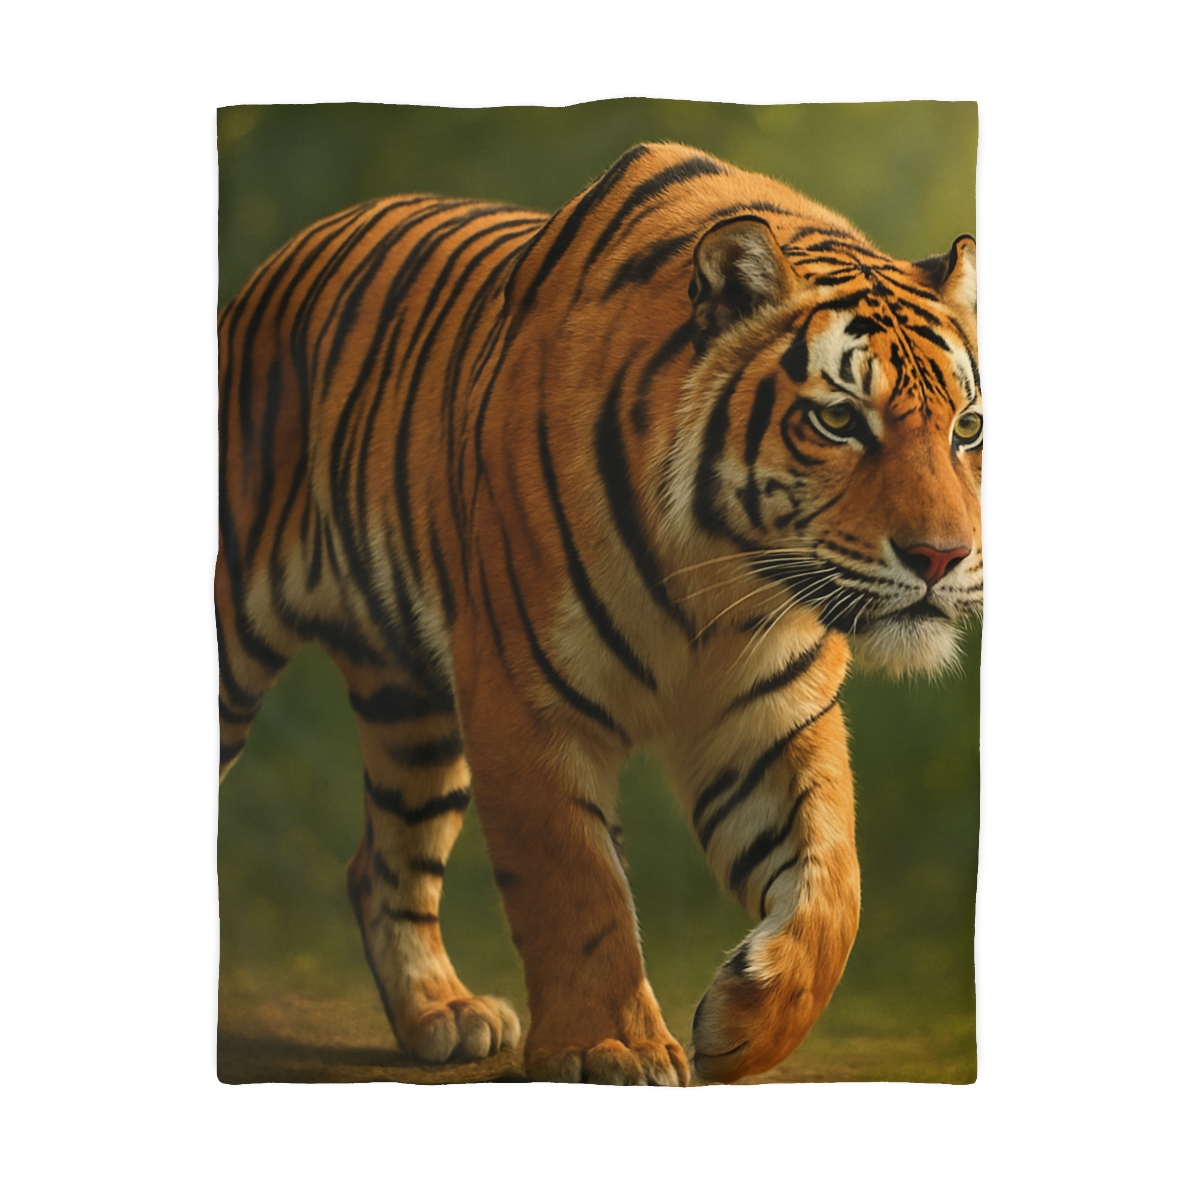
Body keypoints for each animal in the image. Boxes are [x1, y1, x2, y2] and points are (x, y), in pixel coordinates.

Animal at [217, 141, 981, 1085]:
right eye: (839, 419)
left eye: (967, 429)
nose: (942, 558)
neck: (720, 574)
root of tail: (295, 246)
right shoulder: (523, 699)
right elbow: (577, 884)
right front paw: (609, 1046)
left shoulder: (772, 718)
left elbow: (835, 884)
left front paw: (742, 1022)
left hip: (414, 709)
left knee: (382, 861)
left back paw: (442, 1012)